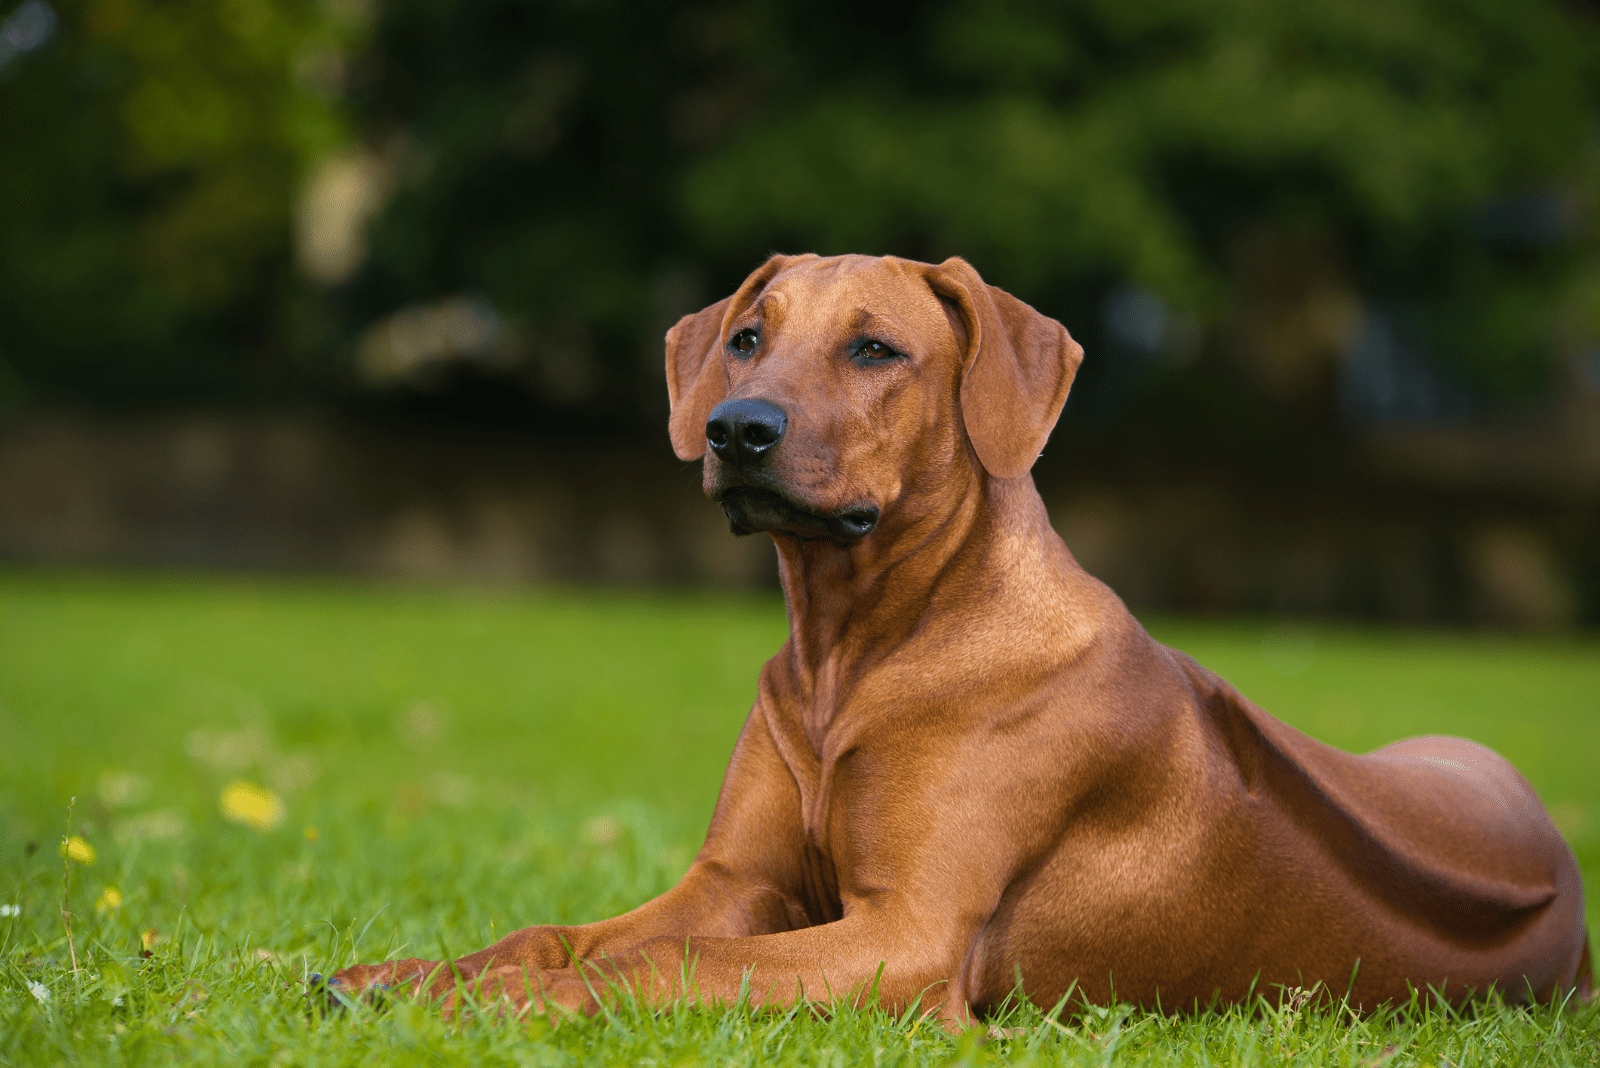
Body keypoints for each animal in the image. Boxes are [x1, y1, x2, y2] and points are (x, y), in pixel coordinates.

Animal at [331, 252, 1593, 1023]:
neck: (853, 651)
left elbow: (671, 958)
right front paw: (415, 971)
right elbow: (560, 931)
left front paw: (483, 1003)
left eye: (874, 350)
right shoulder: (736, 880)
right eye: (744, 339)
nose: (736, 430)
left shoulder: (909, 937)